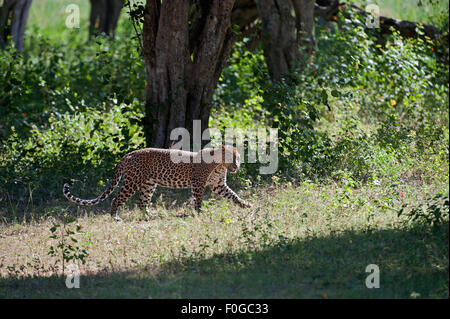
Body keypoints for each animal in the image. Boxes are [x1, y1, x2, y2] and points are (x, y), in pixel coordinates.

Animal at [62, 146, 253, 218]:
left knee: (141, 202)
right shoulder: (198, 183)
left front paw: (246, 205)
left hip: (148, 184)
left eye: (238, 158)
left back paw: (149, 217)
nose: (236, 166)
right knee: (116, 199)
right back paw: (115, 218)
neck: (219, 165)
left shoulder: (218, 185)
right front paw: (200, 213)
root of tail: (127, 154)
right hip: (132, 181)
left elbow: (233, 195)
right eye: (232, 158)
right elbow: (198, 200)